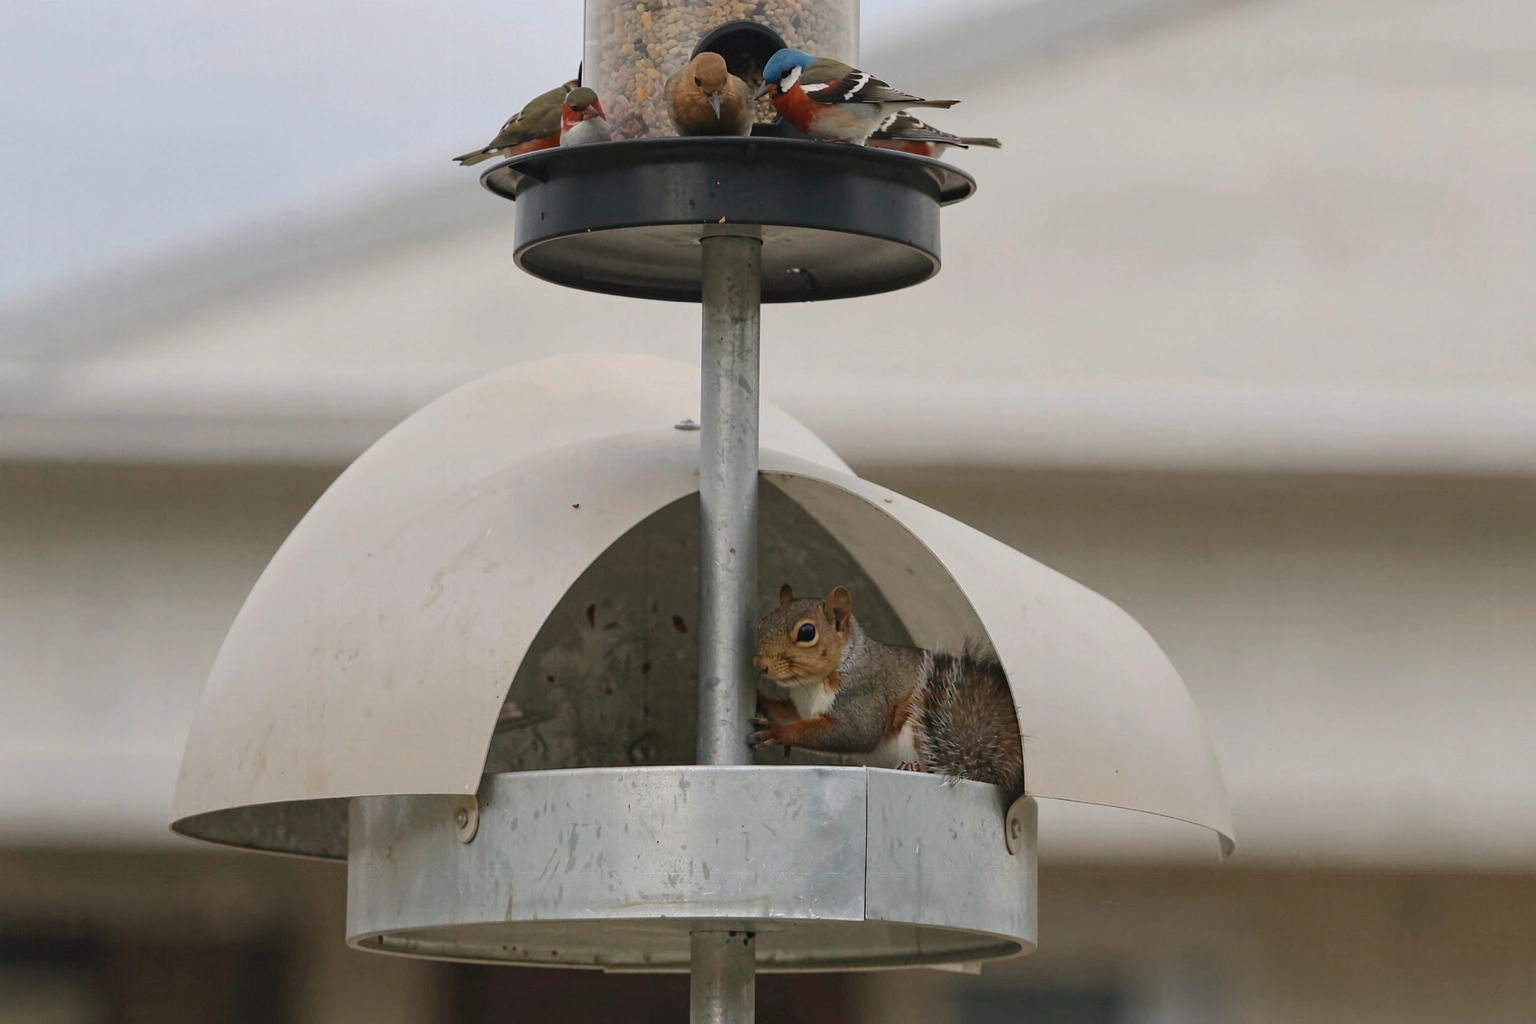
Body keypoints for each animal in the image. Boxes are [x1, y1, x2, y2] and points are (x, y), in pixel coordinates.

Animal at [751, 584, 1023, 796]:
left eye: (807, 632)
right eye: (761, 624)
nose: (759, 665)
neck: (812, 685)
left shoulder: (864, 696)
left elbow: (855, 732)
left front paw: (778, 732)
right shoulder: (804, 708)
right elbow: (790, 715)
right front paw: (761, 700)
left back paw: (918, 767)